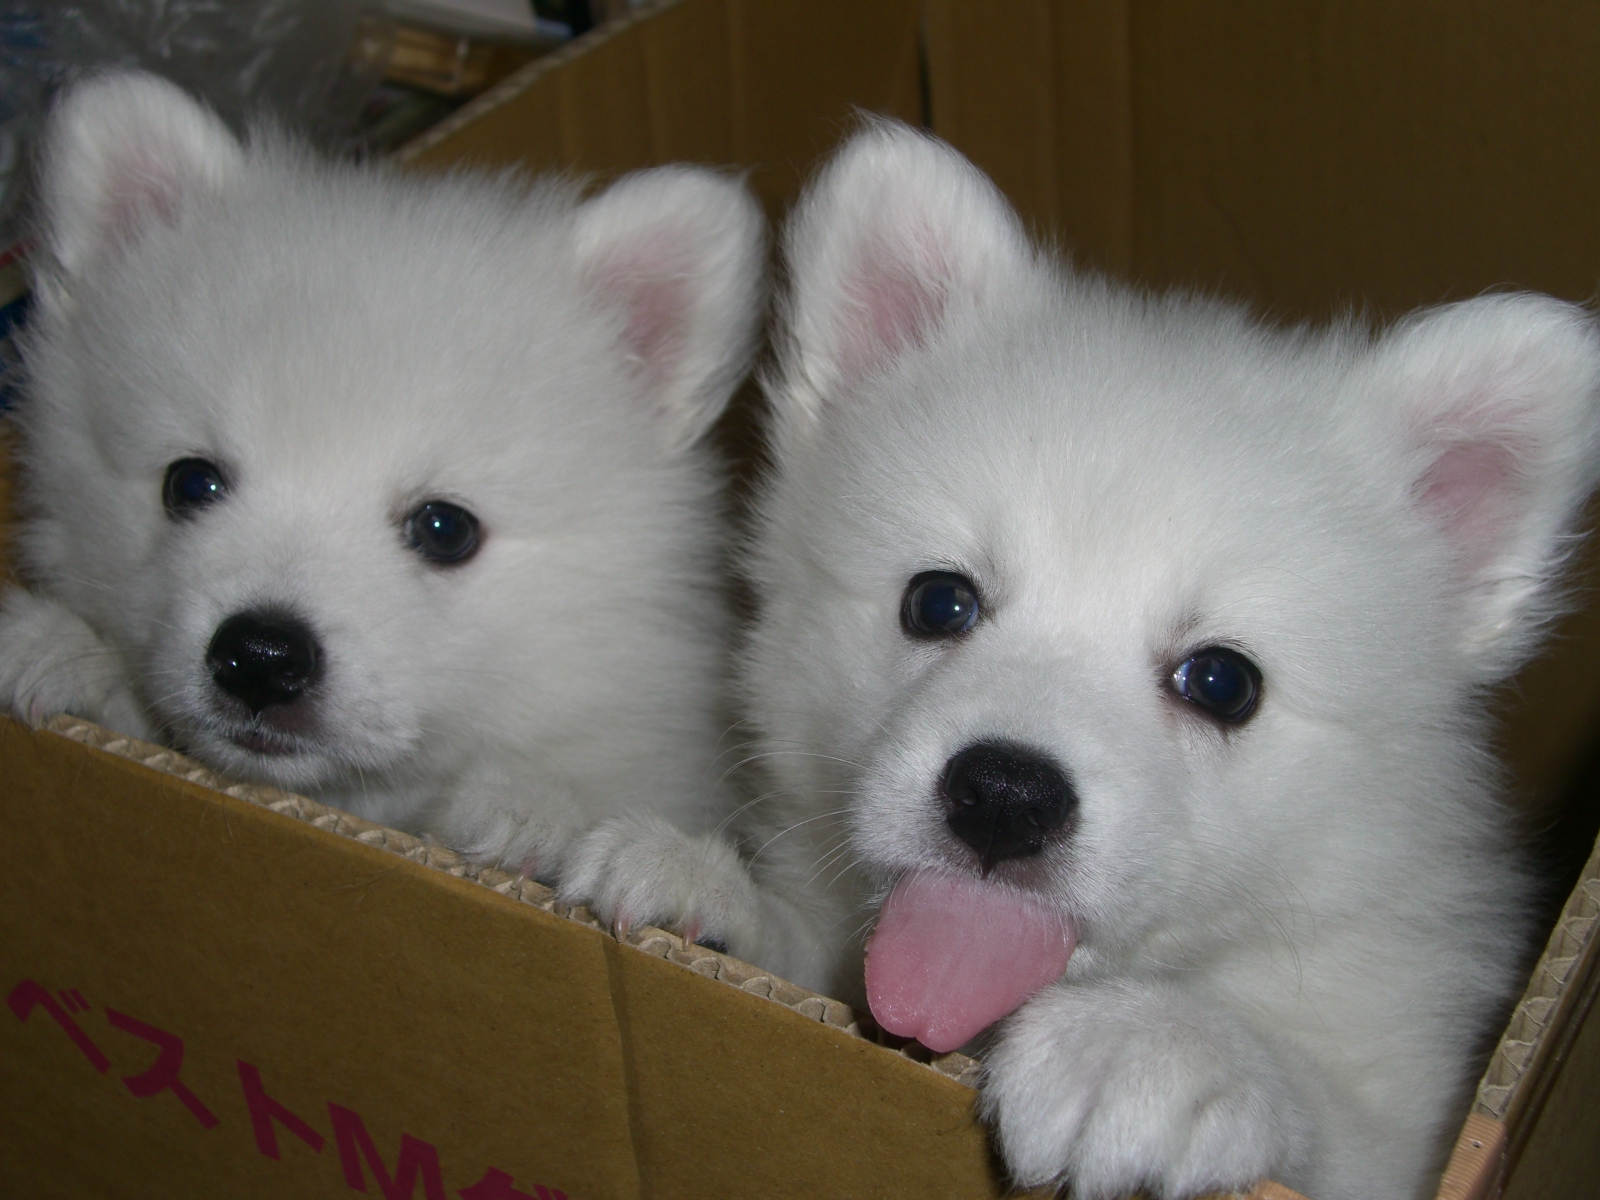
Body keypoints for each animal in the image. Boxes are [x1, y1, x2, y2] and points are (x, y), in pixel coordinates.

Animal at [595, 124, 1593, 1200]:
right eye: (937, 601)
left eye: (1222, 682)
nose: (1003, 794)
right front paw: (719, 895)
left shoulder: (1406, 1085)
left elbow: (1342, 1128)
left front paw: (1157, 1050)